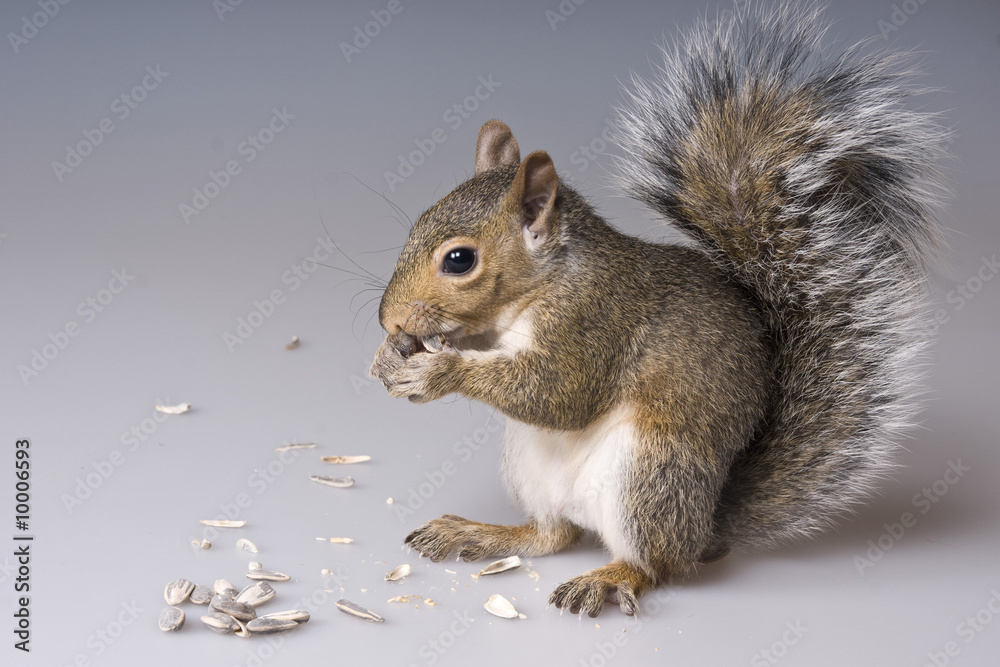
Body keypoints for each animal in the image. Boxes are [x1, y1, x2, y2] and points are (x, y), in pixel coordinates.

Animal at [370, 2, 947, 617]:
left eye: (459, 260)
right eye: (416, 224)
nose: (389, 319)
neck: (543, 285)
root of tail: (708, 528)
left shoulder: (594, 322)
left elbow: (558, 393)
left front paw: (438, 370)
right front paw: (388, 357)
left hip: (651, 474)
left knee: (656, 564)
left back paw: (610, 576)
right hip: (532, 465)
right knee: (550, 535)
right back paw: (480, 533)